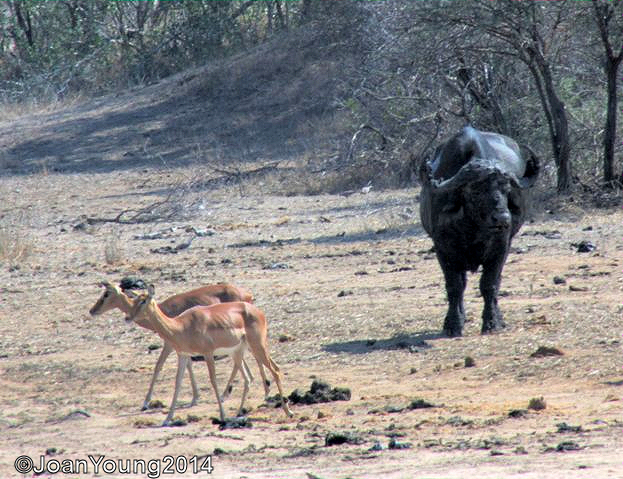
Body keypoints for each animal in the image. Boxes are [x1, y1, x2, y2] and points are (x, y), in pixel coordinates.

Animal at [422, 127, 540, 338]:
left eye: (506, 189)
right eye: (475, 191)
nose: (502, 218)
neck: (472, 227)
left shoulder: (501, 248)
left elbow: (490, 284)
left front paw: (492, 322)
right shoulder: (443, 249)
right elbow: (454, 287)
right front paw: (453, 324)